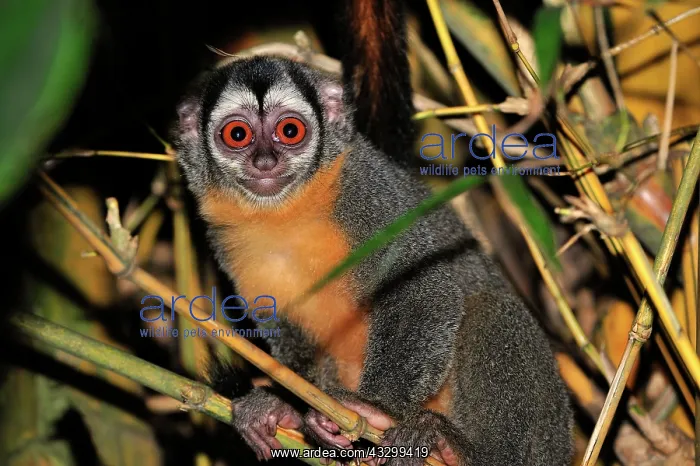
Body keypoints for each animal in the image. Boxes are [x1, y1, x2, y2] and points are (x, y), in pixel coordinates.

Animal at [173, 2, 573, 465]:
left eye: (289, 131)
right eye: (237, 134)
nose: (265, 161)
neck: (289, 210)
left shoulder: (366, 191)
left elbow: (421, 284)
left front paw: (376, 408)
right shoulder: (226, 240)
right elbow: (290, 333)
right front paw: (283, 405)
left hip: (545, 437)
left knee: (489, 308)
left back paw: (460, 449)